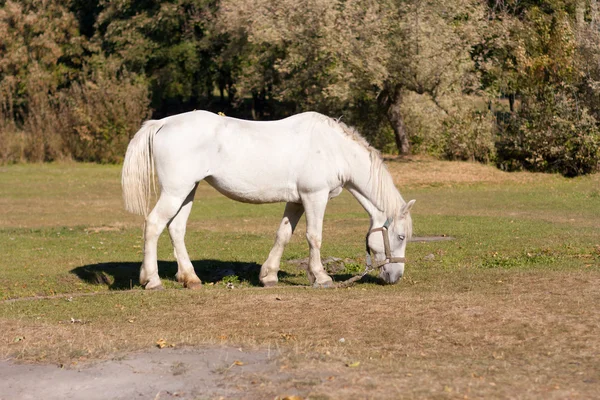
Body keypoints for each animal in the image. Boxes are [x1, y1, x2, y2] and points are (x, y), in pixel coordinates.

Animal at [120, 111, 414, 290]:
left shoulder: (297, 201)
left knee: (176, 229)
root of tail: (163, 123)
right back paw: (152, 279)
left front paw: (269, 276)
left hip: (187, 191)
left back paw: (190, 278)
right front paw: (321, 277)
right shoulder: (315, 197)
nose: (396, 276)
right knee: (153, 225)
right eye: (400, 237)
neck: (334, 149)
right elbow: (314, 237)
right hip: (175, 191)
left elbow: (283, 235)